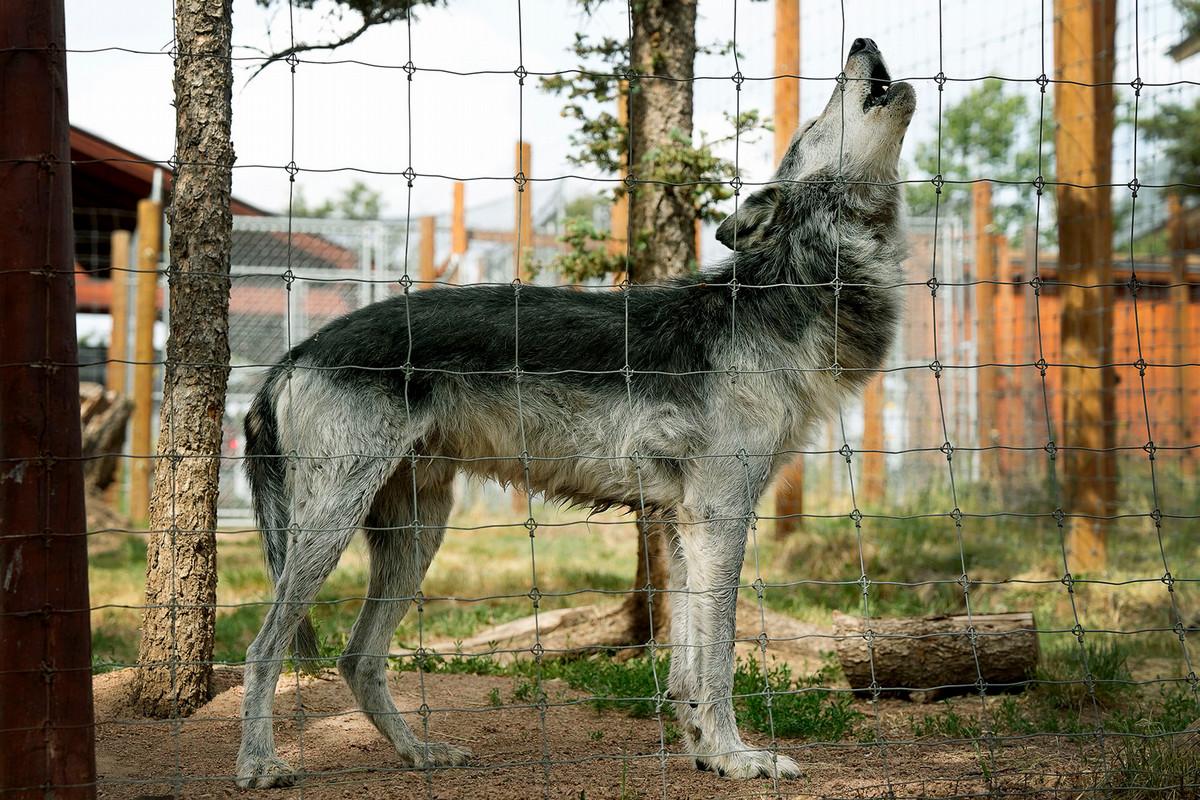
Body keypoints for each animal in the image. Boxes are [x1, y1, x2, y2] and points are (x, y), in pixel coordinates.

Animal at [236, 37, 916, 786]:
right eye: (813, 127)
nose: (861, 43)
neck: (787, 295)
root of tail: (292, 355)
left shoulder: (681, 525)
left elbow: (686, 668)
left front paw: (703, 752)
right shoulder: (721, 517)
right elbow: (719, 660)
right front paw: (739, 757)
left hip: (416, 532)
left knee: (356, 657)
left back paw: (420, 752)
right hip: (330, 530)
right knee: (263, 649)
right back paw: (260, 764)